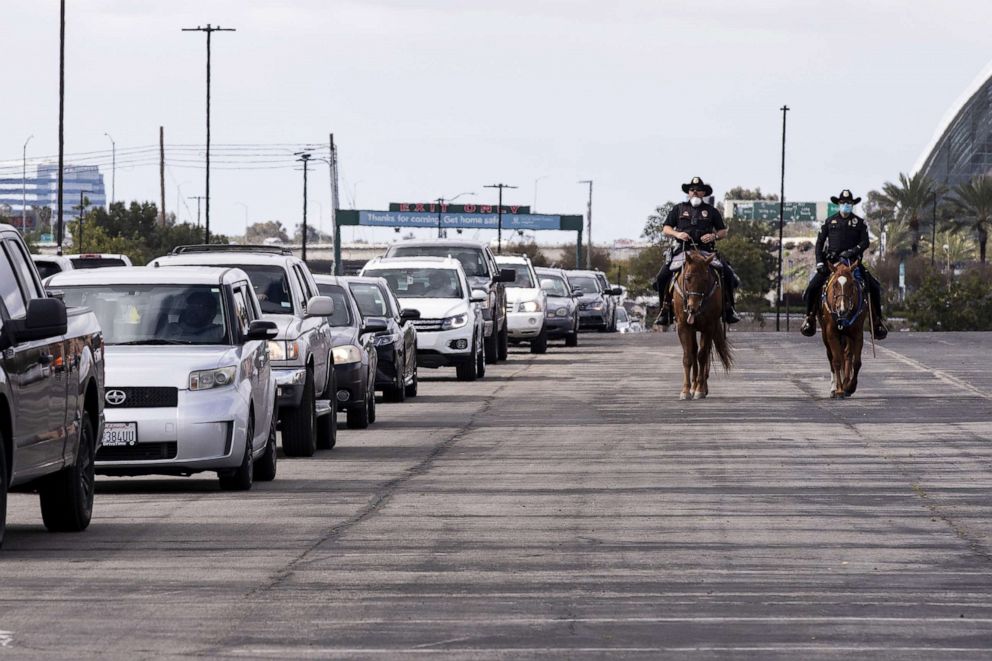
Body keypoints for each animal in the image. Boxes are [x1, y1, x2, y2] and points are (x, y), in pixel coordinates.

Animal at [672, 251, 732, 398]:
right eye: (687, 278)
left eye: (705, 279)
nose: (692, 308)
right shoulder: (683, 326)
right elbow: (688, 356)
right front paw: (686, 390)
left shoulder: (709, 326)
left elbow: (703, 355)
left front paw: (700, 389)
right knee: (693, 351)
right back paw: (693, 386)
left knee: (705, 353)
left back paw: (702, 386)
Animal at [816, 260, 864, 398]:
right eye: (835, 285)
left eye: (851, 284)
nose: (842, 309)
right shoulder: (831, 333)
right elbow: (836, 361)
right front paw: (839, 390)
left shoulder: (857, 334)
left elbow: (856, 362)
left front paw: (850, 387)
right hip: (826, 335)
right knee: (832, 357)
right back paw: (834, 387)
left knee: (847, 355)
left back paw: (845, 382)